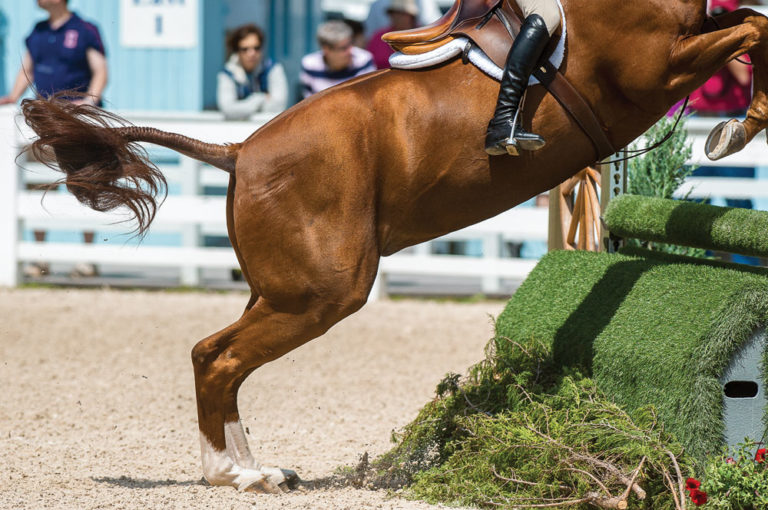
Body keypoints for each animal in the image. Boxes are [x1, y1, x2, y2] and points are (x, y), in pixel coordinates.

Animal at [19, 0, 768, 493]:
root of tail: (238, 150)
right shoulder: (654, 65)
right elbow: (753, 28)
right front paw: (735, 130)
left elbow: (747, 22)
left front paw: (734, 125)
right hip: (322, 292)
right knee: (219, 358)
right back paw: (237, 474)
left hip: (282, 289)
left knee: (217, 358)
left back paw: (252, 469)